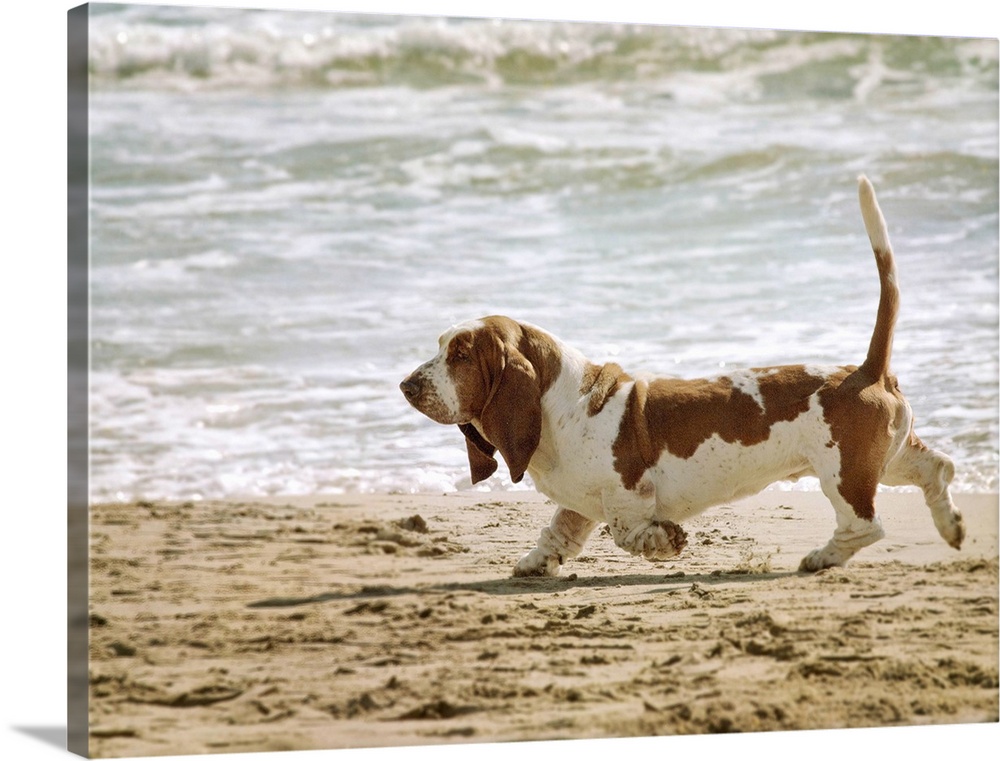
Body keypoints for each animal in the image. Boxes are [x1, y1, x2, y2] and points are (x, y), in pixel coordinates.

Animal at [402, 175, 964, 572]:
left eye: (460, 355)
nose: (407, 386)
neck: (561, 403)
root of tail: (866, 371)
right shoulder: (580, 502)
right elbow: (559, 531)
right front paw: (535, 564)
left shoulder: (626, 494)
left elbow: (625, 531)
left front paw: (663, 542)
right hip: (882, 460)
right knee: (937, 469)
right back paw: (952, 527)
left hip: (843, 474)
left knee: (866, 526)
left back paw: (821, 557)